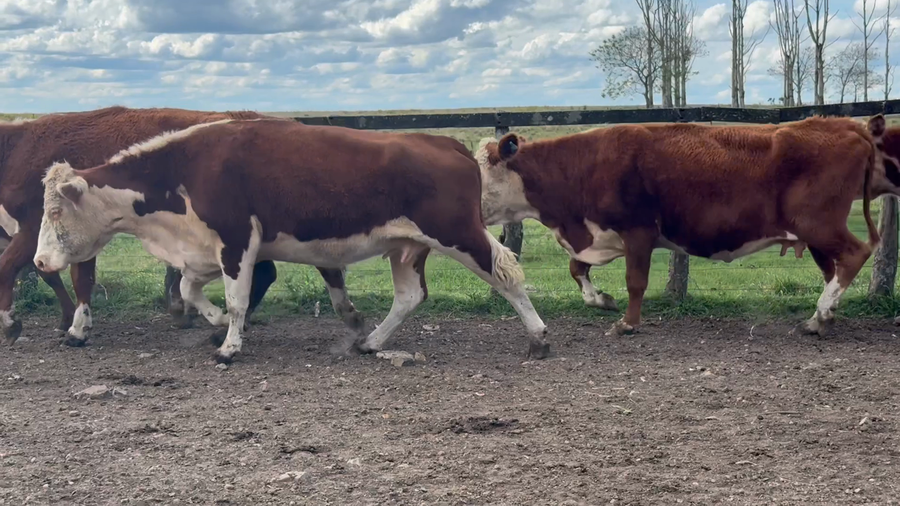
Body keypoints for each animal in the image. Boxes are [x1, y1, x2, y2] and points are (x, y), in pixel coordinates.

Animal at [0, 107, 283, 347]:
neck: (18, 149)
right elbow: (66, 275)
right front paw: (73, 323)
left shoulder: (34, 229)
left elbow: (10, 267)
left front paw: (12, 324)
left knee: (262, 275)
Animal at [32, 118, 552, 364]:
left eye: (55, 211)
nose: (38, 261)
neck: (185, 169)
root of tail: (445, 143)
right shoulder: (205, 249)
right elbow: (188, 289)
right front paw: (215, 323)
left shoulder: (238, 241)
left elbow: (238, 298)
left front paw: (229, 346)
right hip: (406, 247)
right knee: (409, 297)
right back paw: (370, 342)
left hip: (458, 233)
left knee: (507, 274)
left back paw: (538, 337)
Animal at [474, 114, 884, 338]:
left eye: (480, 172)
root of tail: (847, 127)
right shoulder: (599, 236)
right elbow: (577, 269)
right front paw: (601, 300)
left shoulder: (639, 231)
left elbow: (635, 282)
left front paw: (627, 323)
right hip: (815, 236)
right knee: (835, 270)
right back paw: (821, 317)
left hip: (820, 224)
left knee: (856, 254)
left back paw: (820, 315)